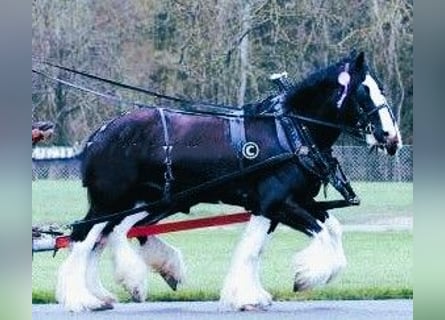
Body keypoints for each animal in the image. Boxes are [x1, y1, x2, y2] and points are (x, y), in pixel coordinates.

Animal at [55, 52, 398, 310]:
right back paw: (82, 299)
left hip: (144, 202)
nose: (391, 137)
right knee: (84, 237)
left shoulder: (280, 204)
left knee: (111, 235)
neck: (290, 130)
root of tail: (100, 134)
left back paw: (117, 287)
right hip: (110, 201)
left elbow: (311, 234)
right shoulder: (279, 202)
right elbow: (314, 237)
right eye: (364, 91)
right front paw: (305, 277)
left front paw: (250, 295)